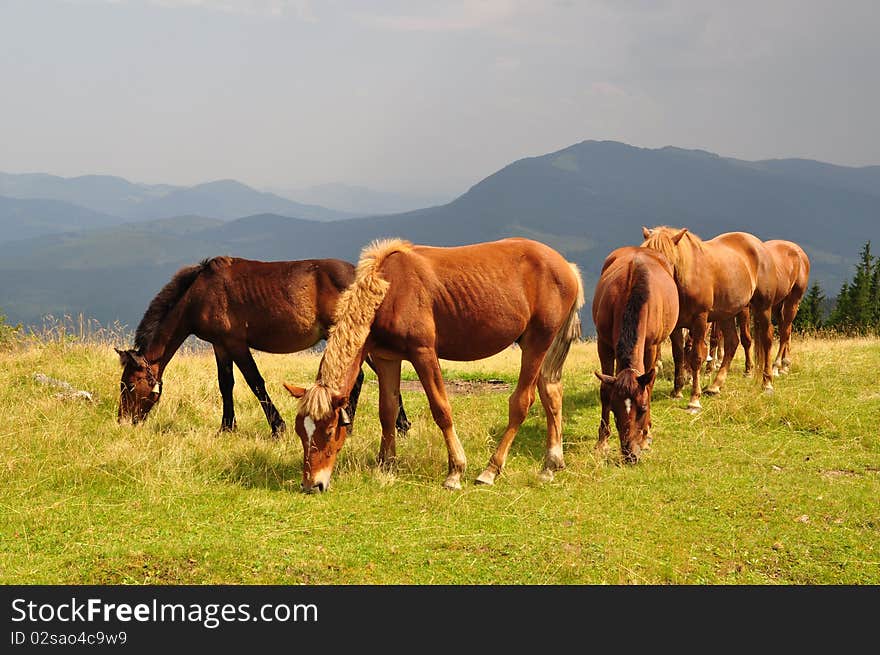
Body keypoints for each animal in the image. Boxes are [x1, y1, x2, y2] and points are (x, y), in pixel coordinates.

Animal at [114, 256, 412, 436]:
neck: (199, 295)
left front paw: (277, 427)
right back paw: (397, 424)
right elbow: (226, 384)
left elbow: (255, 382)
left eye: (129, 386)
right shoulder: (220, 346)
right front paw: (227, 427)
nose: (122, 421)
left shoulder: (236, 344)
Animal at [284, 237, 584, 492]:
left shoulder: (424, 354)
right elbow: (387, 411)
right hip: (541, 346)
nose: (311, 485)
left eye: (329, 431)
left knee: (522, 402)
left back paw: (490, 470)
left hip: (537, 343)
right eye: (301, 431)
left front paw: (455, 471)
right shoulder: (386, 358)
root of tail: (566, 267)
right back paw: (550, 465)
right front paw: (386, 465)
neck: (390, 291)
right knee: (552, 394)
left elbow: (441, 409)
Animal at [592, 249, 680, 464]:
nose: (630, 454)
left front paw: (646, 437)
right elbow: (605, 389)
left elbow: (649, 384)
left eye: (643, 409)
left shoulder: (651, 347)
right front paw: (602, 441)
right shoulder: (603, 343)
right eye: (614, 410)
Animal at [640, 226, 776, 410]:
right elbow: (678, 356)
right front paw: (677, 391)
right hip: (727, 314)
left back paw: (767, 383)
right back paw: (715, 386)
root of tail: (759, 246)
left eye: (665, 261)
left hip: (763, 307)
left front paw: (694, 400)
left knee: (767, 339)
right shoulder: (676, 326)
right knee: (732, 343)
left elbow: (696, 357)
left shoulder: (700, 320)